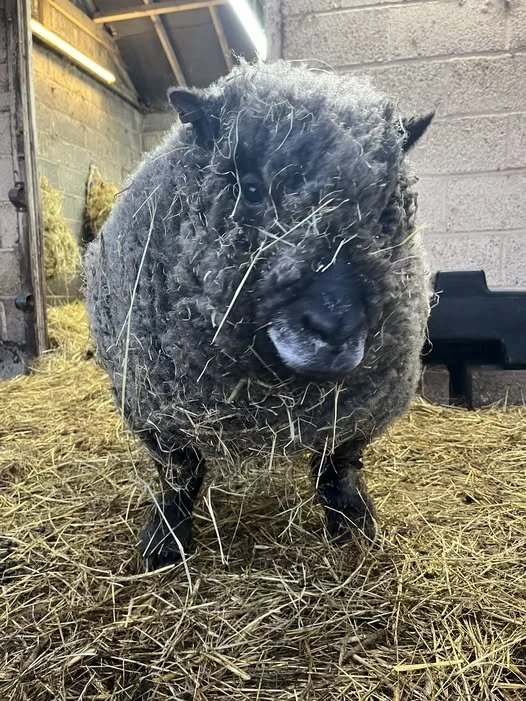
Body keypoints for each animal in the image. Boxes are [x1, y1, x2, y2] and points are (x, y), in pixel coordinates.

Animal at [84, 60, 433, 570]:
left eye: (383, 205)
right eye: (250, 188)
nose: (333, 330)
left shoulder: (359, 409)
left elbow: (337, 466)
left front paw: (354, 528)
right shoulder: (154, 407)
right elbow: (180, 475)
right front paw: (164, 544)